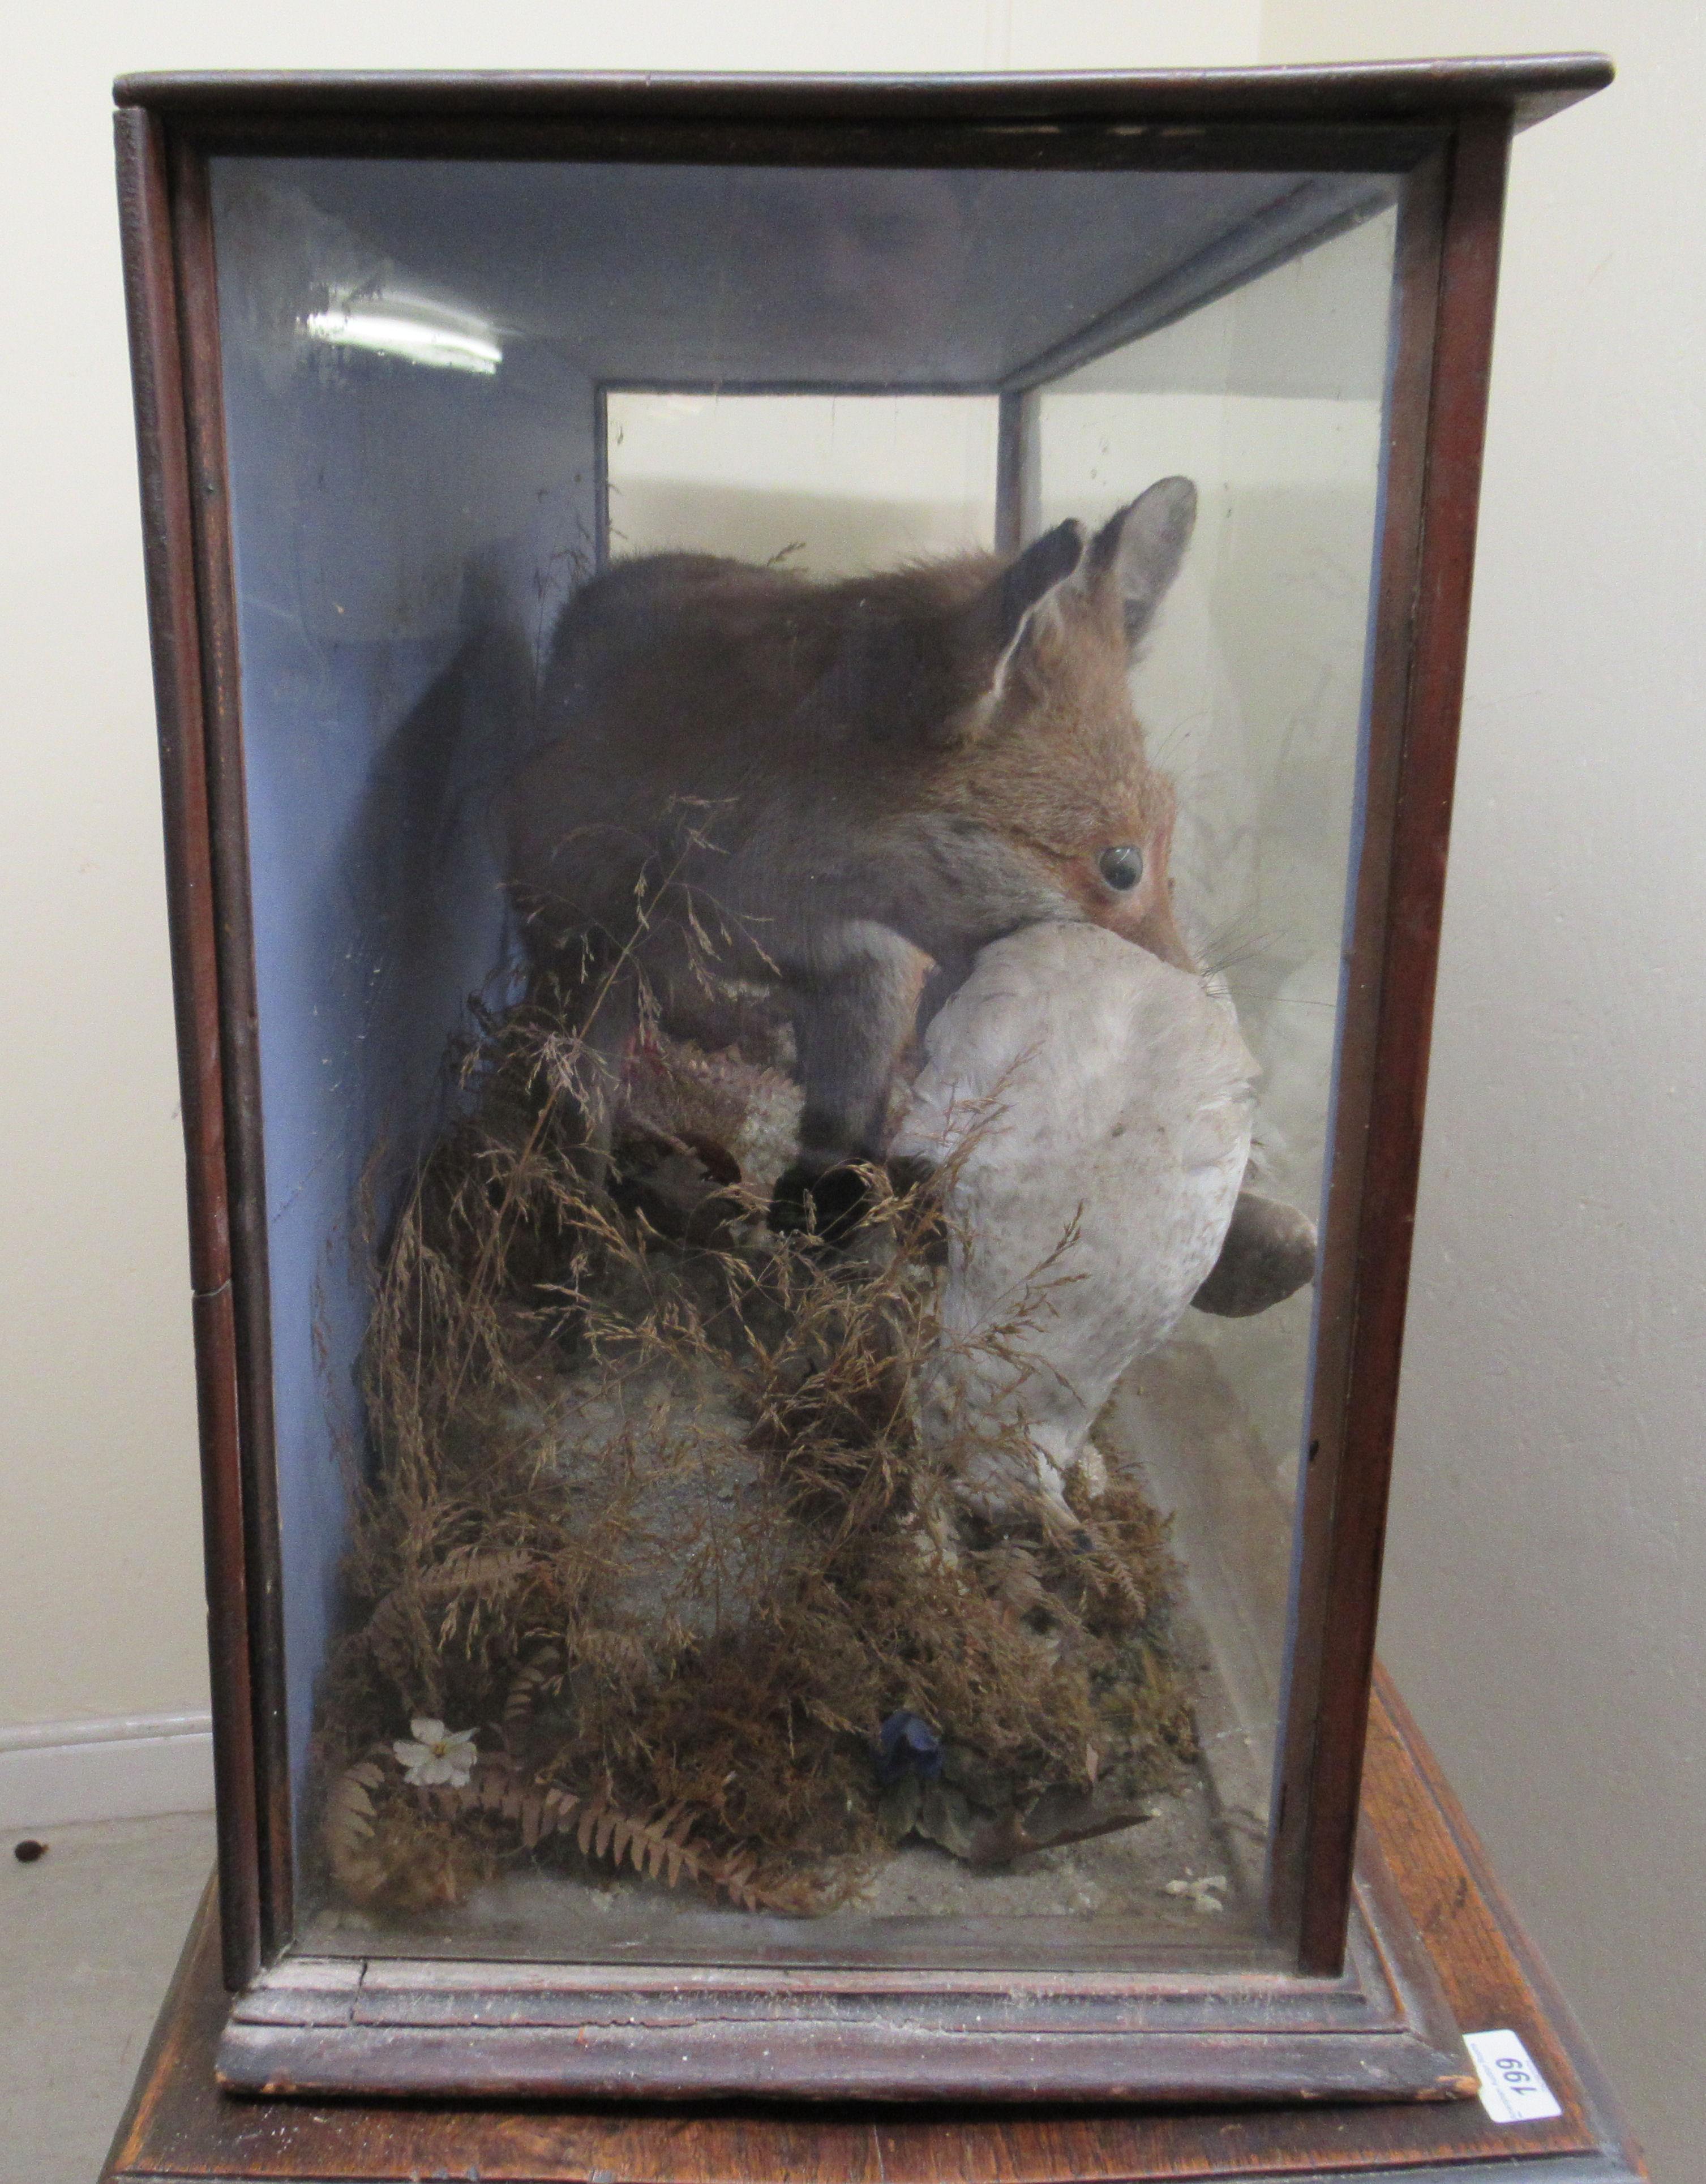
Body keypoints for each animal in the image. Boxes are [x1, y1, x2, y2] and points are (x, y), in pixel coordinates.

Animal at [507, 478, 1197, 1232]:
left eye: (1170, 839)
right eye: (1122, 867)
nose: (1192, 1004)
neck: (754, 899)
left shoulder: (868, 965)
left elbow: (844, 1118)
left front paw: (825, 1211)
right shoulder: (576, 942)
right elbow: (575, 1114)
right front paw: (569, 1215)